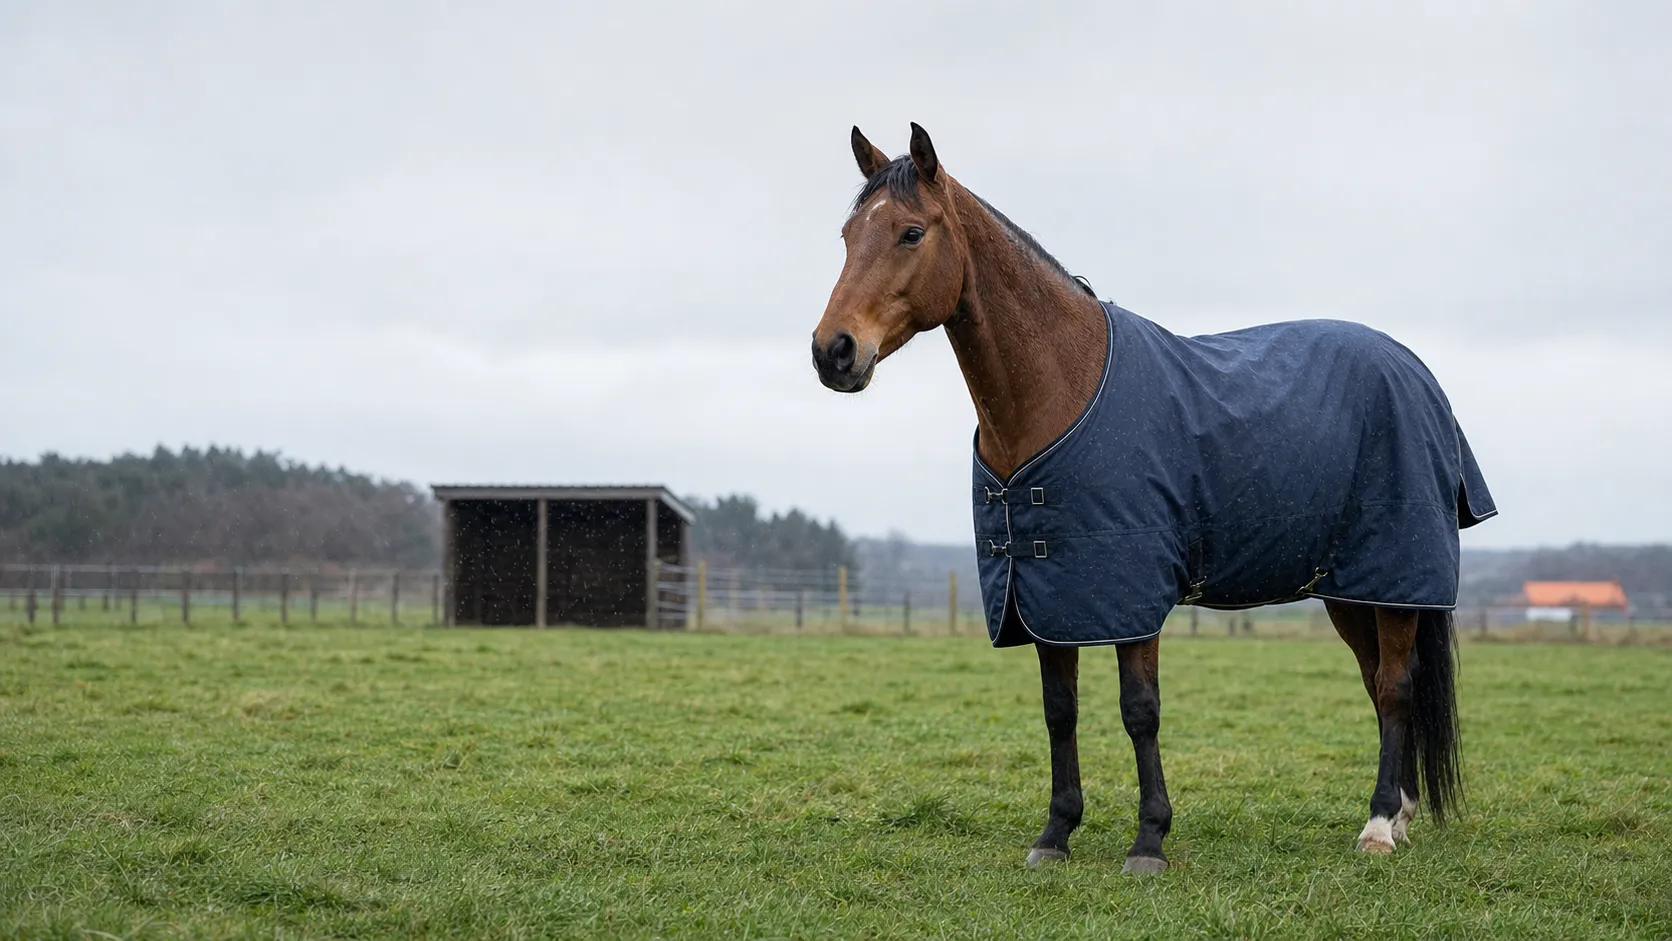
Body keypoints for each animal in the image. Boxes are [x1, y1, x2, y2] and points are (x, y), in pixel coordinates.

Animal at [810, 123, 1496, 872]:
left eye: (910, 232)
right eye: (847, 235)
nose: (832, 351)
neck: (1061, 387)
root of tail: (1414, 371)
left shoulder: (1128, 591)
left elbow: (1140, 709)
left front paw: (1149, 840)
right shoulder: (1049, 594)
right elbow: (1059, 710)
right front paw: (1055, 833)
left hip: (1395, 578)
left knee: (1395, 687)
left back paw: (1378, 826)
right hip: (1350, 588)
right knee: (1379, 684)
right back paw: (1398, 812)